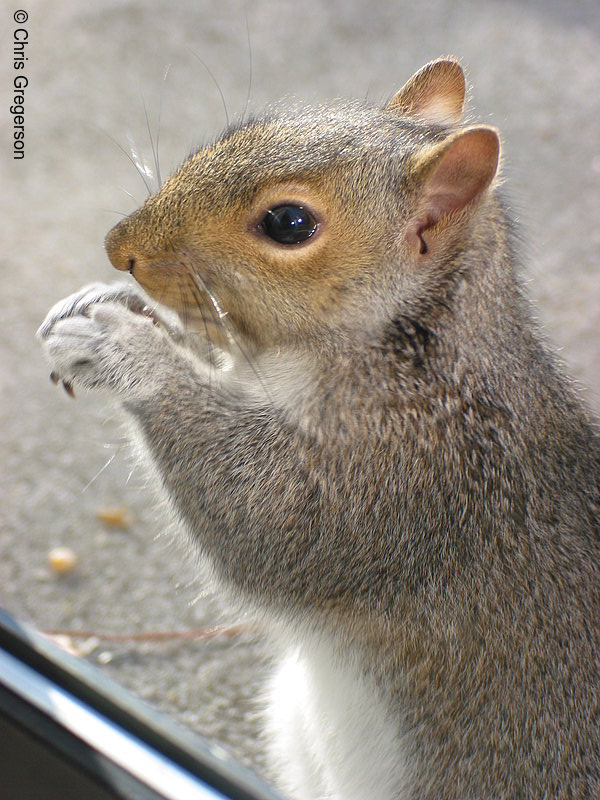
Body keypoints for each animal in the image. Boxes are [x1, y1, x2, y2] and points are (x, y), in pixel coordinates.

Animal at [38, 57, 600, 800]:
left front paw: (128, 348)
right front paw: (107, 305)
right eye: (241, 128)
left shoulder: (417, 474)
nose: (118, 249)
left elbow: (267, 521)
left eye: (289, 222)